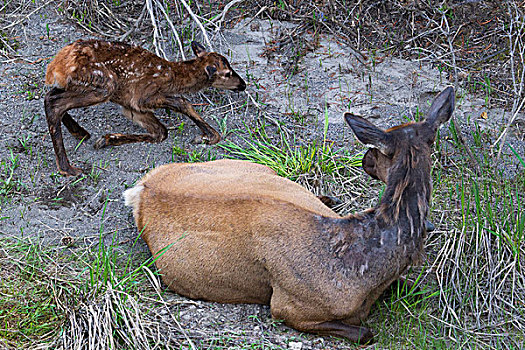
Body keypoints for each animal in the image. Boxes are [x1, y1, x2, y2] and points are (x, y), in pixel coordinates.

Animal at [43, 39, 246, 175]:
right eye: (227, 73)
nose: (243, 84)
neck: (173, 77)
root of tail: (55, 67)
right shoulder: (143, 97)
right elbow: (182, 102)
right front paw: (208, 136)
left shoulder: (130, 106)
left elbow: (161, 131)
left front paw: (108, 139)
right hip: (104, 84)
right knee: (54, 103)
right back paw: (68, 168)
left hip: (77, 85)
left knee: (50, 95)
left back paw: (80, 133)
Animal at [124, 87, 454, 342]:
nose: (365, 160)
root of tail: (143, 187)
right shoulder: (288, 306)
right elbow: (365, 333)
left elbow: (419, 289)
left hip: (257, 170)